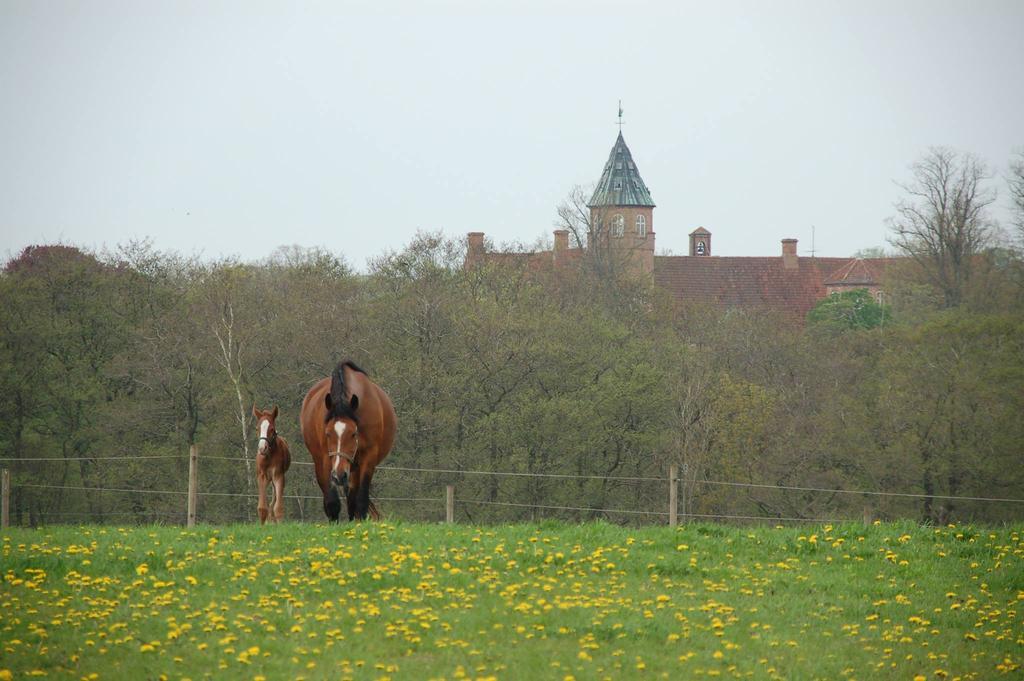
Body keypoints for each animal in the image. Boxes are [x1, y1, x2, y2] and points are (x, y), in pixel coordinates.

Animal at [299, 360, 395, 520]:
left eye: (354, 434)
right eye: (328, 434)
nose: (339, 475)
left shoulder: (368, 458)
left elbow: (360, 501)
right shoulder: (326, 460)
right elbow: (332, 503)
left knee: (352, 500)